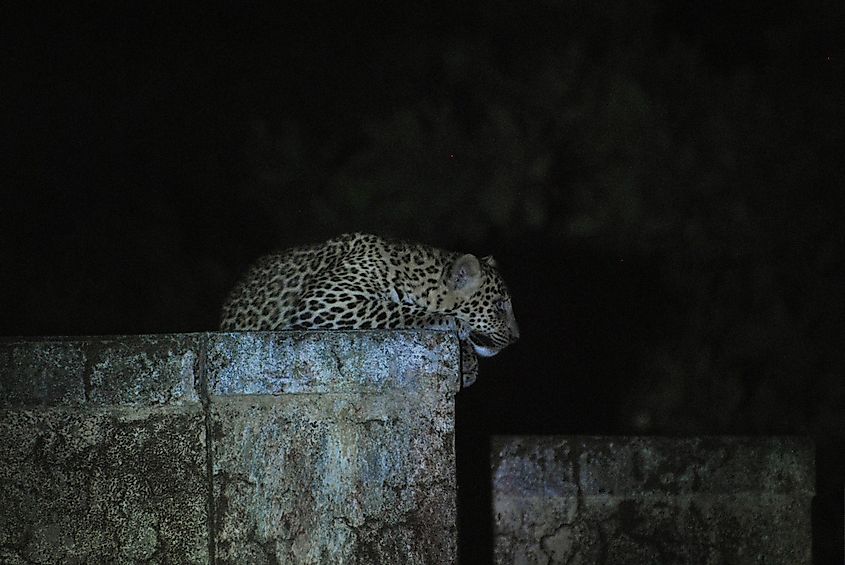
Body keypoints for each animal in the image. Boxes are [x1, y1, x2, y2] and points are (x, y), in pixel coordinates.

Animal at [221, 231, 516, 386]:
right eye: (499, 306)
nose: (517, 338)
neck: (415, 276)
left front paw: (468, 361)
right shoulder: (326, 301)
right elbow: (396, 309)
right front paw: (453, 326)